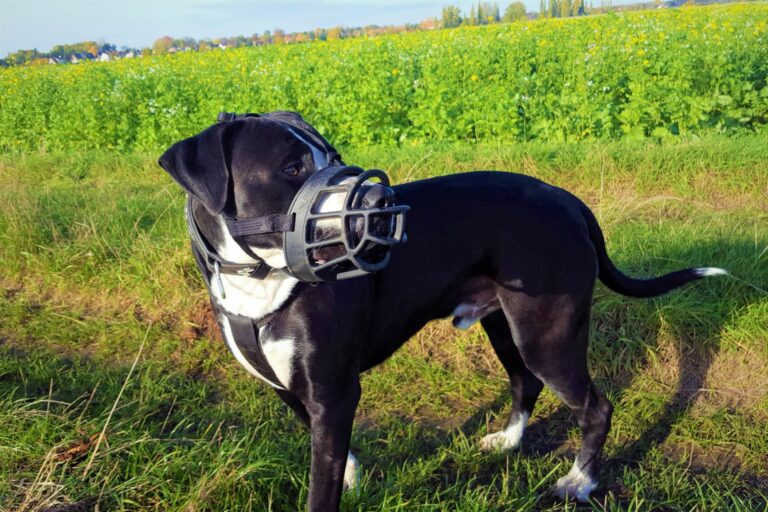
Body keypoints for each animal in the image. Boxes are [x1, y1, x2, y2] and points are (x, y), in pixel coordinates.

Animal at [158, 113, 728, 512]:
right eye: (291, 168)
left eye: (334, 157)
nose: (380, 200)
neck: (260, 281)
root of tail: (568, 200)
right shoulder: (296, 391)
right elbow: (335, 457)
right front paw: (353, 477)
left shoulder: (334, 391)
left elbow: (321, 489)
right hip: (506, 326)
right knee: (525, 383)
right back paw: (509, 440)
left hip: (547, 336)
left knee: (594, 406)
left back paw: (579, 482)